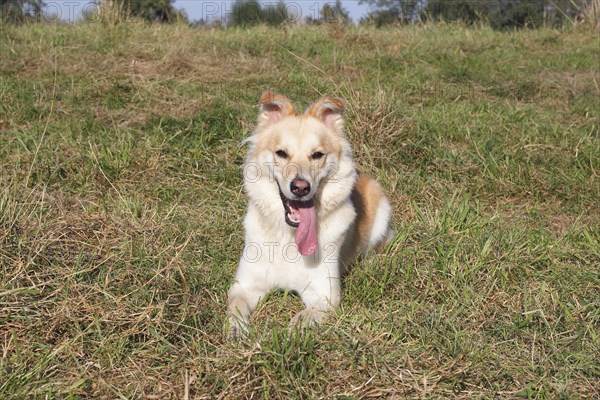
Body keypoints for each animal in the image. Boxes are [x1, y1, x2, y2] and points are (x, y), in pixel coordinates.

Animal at [227, 90, 392, 338]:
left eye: (317, 155)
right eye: (281, 153)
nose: (300, 187)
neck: (290, 236)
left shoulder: (324, 295)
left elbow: (302, 319)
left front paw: (290, 334)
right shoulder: (244, 285)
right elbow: (235, 307)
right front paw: (237, 330)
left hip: (381, 211)